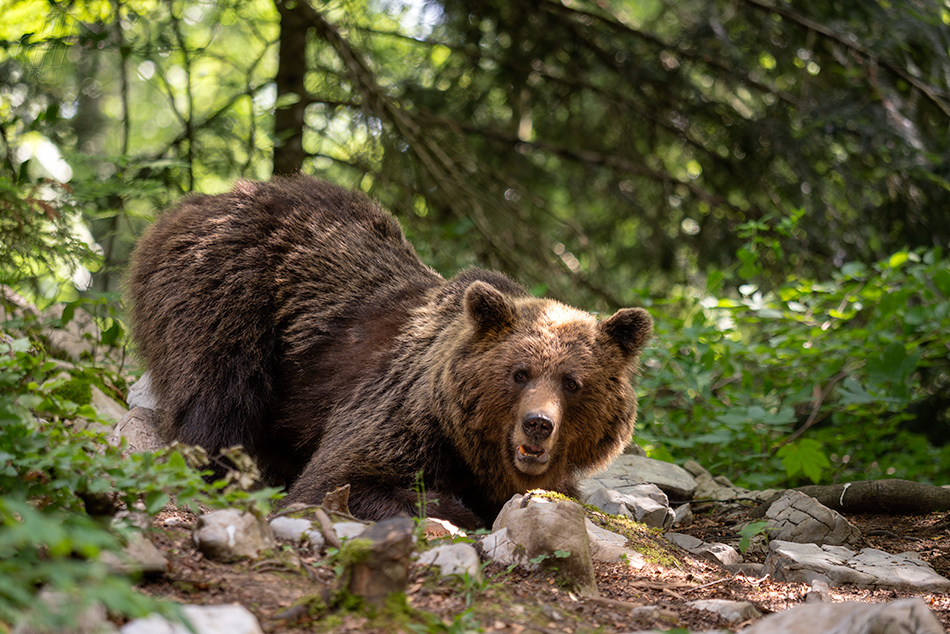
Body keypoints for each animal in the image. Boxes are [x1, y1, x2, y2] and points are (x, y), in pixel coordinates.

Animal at [130, 175, 656, 524]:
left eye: (573, 382)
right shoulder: (402, 413)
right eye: (519, 372)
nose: (538, 423)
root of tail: (200, 200)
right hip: (229, 290)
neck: (472, 448)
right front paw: (455, 507)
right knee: (218, 393)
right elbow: (340, 479)